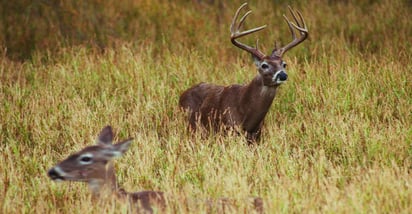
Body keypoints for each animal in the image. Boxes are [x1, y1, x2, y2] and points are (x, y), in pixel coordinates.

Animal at [179, 2, 308, 143]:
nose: (283, 75)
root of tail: (181, 95)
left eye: (284, 64)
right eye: (264, 65)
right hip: (191, 125)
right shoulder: (228, 129)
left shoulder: (257, 135)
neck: (247, 117)